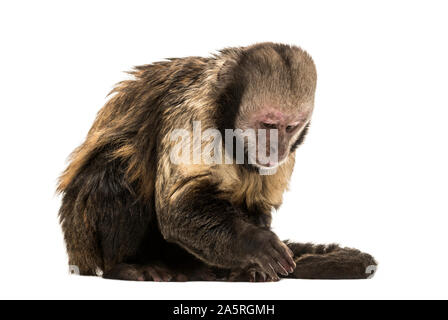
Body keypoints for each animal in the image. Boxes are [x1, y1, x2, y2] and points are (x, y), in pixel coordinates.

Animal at [57, 43, 376, 282]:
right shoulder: (194, 111)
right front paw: (254, 243)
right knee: (118, 165)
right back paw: (126, 266)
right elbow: (178, 205)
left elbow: (256, 204)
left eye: (290, 127)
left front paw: (251, 263)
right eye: (268, 124)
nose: (277, 148)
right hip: (84, 240)